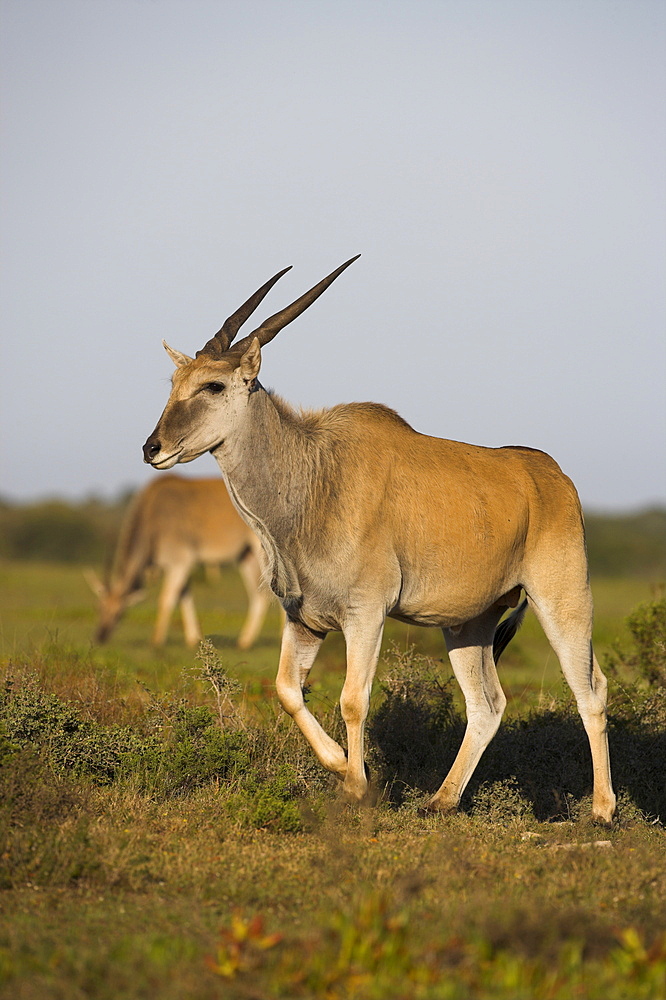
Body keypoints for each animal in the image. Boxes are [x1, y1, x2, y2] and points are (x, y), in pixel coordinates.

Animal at [87, 474, 268, 648]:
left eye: (119, 613)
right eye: (99, 607)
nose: (100, 636)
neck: (154, 514)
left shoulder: (180, 562)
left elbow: (167, 598)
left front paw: (156, 641)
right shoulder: (181, 567)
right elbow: (184, 596)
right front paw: (193, 638)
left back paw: (248, 641)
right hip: (246, 556)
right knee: (258, 594)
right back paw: (245, 640)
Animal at [143, 260, 616, 828]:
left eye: (213, 386)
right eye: (174, 382)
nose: (152, 448)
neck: (314, 479)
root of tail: (552, 474)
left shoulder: (365, 614)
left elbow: (352, 699)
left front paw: (356, 785)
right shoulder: (303, 620)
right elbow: (286, 691)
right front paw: (339, 764)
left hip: (563, 601)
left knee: (590, 691)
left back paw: (603, 810)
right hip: (468, 626)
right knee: (488, 704)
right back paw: (441, 800)